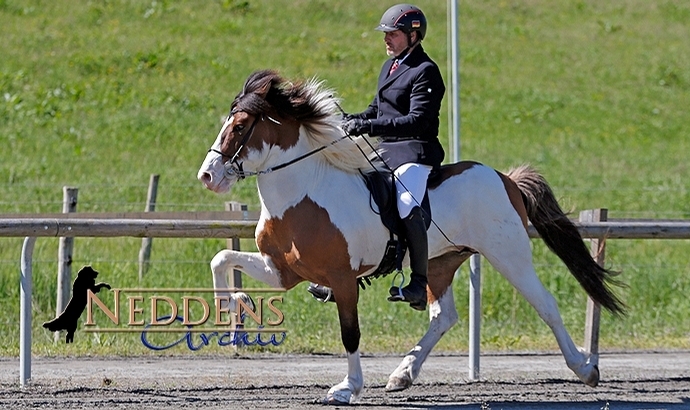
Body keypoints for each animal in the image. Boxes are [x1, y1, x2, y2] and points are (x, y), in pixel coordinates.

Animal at [195, 69, 624, 404]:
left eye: (239, 125)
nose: (208, 176)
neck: (303, 192)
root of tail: (505, 178)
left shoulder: (341, 278)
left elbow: (350, 333)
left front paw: (348, 388)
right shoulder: (282, 271)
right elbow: (221, 259)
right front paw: (234, 304)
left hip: (509, 254)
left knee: (545, 305)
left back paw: (585, 368)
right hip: (439, 262)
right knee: (443, 315)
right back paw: (403, 374)